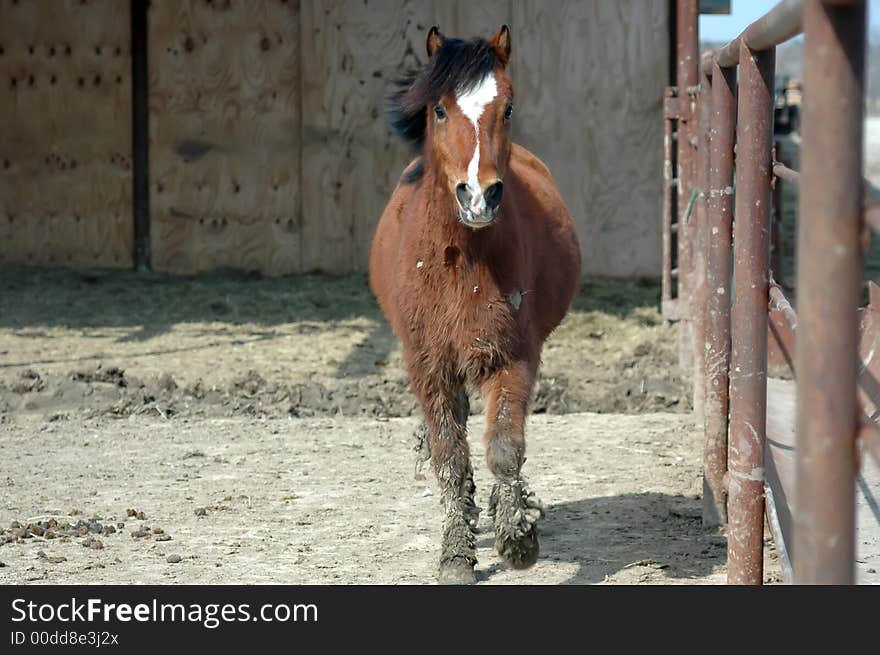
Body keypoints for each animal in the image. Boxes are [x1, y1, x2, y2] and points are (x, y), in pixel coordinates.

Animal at [368, 24, 580, 584]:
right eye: (440, 110)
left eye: (507, 107)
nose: (479, 196)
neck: (459, 258)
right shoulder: (428, 365)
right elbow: (449, 456)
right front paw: (457, 554)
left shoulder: (513, 356)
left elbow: (504, 450)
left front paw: (518, 536)